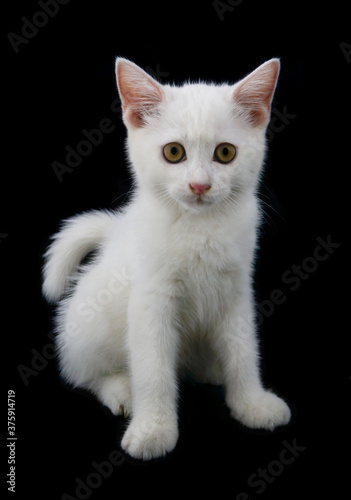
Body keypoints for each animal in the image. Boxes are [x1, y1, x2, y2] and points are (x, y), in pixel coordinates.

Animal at [43, 56, 292, 458]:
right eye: (174, 152)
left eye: (225, 153)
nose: (200, 185)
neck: (199, 226)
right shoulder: (151, 300)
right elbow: (153, 368)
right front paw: (153, 429)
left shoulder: (237, 292)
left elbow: (243, 350)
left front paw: (251, 403)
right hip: (89, 324)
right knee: (83, 371)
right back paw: (121, 390)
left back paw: (212, 370)